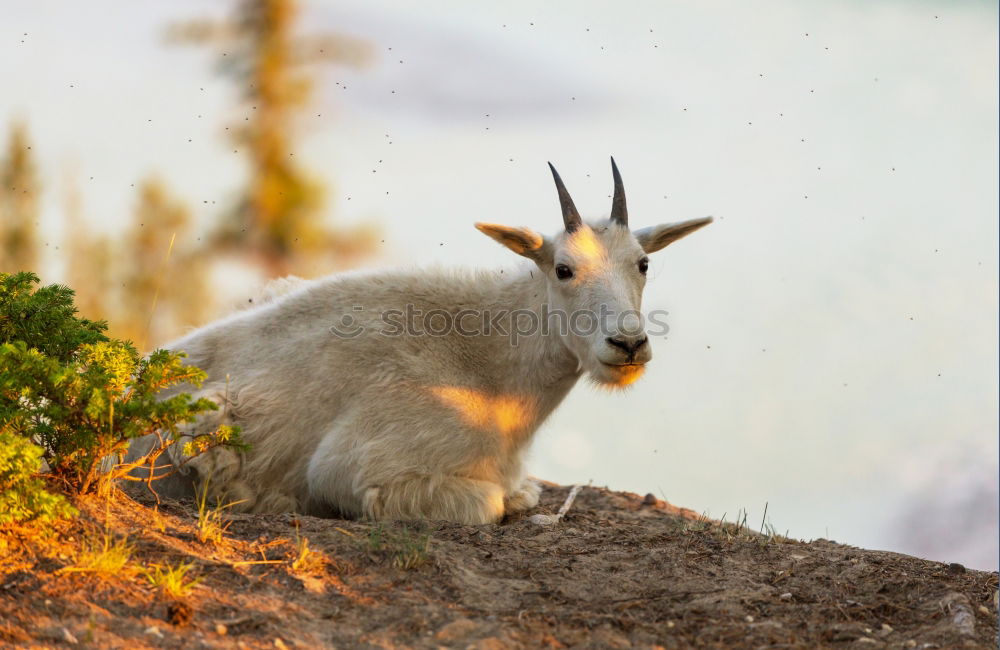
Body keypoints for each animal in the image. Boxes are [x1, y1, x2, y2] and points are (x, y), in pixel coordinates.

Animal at [129, 159, 712, 524]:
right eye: (564, 269)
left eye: (643, 263)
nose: (627, 345)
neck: (493, 370)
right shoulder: (356, 468)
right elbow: (490, 504)